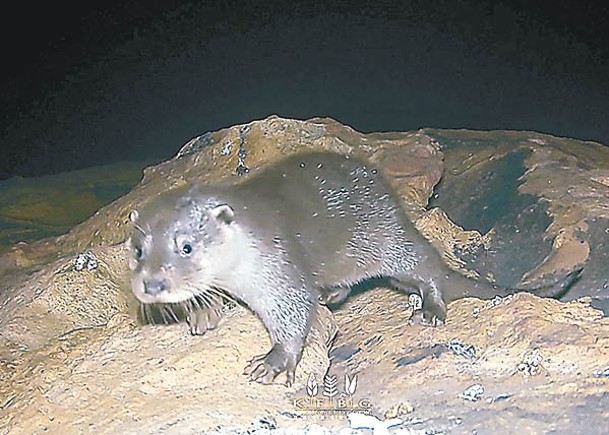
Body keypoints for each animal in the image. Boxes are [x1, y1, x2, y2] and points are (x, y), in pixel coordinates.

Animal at [128, 152, 580, 386]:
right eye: (137, 251)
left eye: (186, 247)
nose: (152, 285)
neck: (249, 243)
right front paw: (202, 310)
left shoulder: (281, 270)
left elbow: (295, 315)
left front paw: (274, 362)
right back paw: (330, 294)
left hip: (389, 240)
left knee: (428, 267)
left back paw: (431, 309)